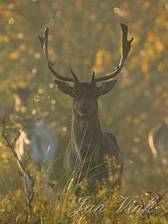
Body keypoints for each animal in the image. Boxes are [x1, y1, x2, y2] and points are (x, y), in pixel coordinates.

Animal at [39, 23, 133, 193]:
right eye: (74, 94)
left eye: (95, 94)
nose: (84, 107)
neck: (87, 160)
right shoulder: (72, 181)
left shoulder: (104, 182)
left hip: (117, 181)